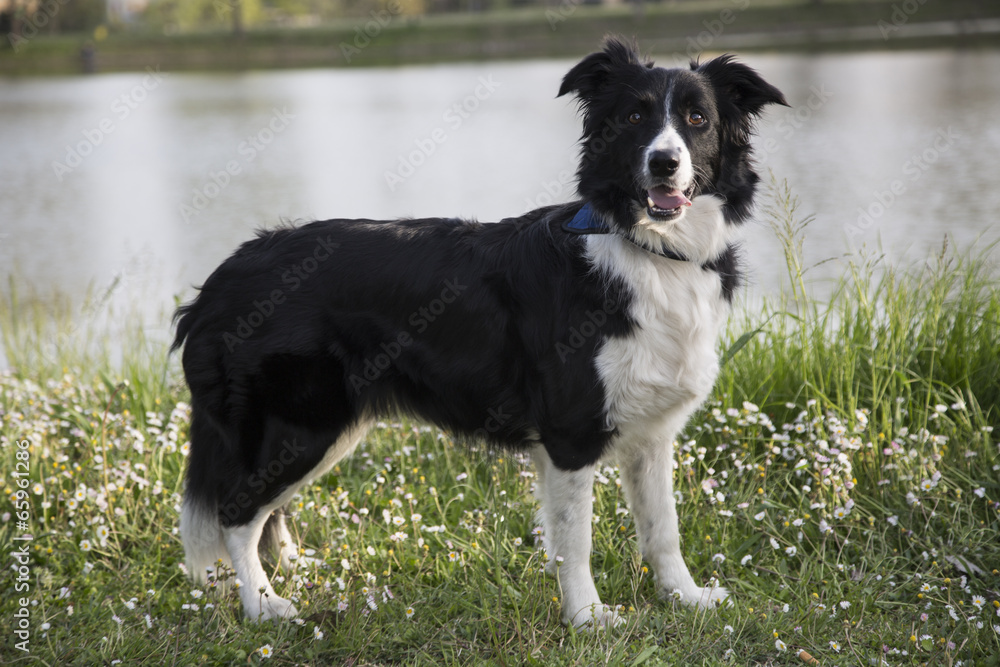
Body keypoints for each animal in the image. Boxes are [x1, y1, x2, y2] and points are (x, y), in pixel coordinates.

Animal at [174, 37, 788, 628]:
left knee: (264, 513)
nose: (664, 163)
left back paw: (294, 571)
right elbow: (576, 540)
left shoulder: (653, 433)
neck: (649, 250)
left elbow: (663, 530)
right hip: (304, 425)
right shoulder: (570, 434)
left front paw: (686, 599)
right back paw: (262, 606)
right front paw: (587, 619)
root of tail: (221, 279)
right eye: (635, 117)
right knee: (236, 513)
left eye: (697, 118)